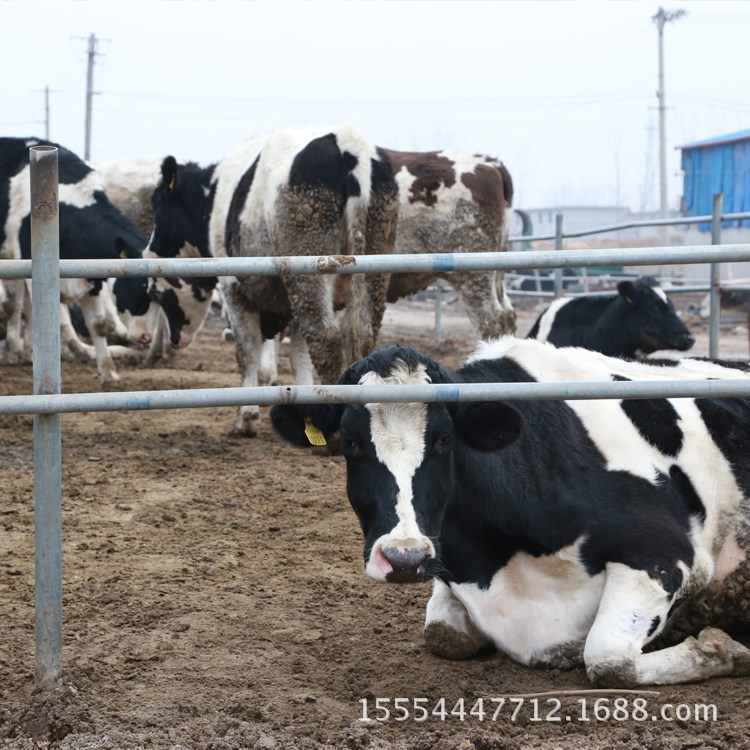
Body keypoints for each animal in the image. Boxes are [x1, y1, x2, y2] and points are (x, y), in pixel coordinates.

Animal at [0, 137, 154, 384]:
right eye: (141, 284)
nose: (146, 337)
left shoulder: (92, 275)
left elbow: (98, 325)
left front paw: (109, 374)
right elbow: (58, 320)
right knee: (13, 306)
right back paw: (13, 352)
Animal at [149, 127, 402, 438]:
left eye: (158, 205)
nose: (149, 252)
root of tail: (347, 142)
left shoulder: (233, 289)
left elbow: (247, 351)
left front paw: (245, 418)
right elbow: (299, 355)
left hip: (309, 269)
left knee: (326, 339)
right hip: (369, 268)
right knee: (362, 338)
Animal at [274, 340, 750, 688]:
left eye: (445, 439)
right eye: (352, 442)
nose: (404, 558)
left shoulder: (665, 553)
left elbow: (608, 659)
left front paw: (718, 647)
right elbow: (443, 634)